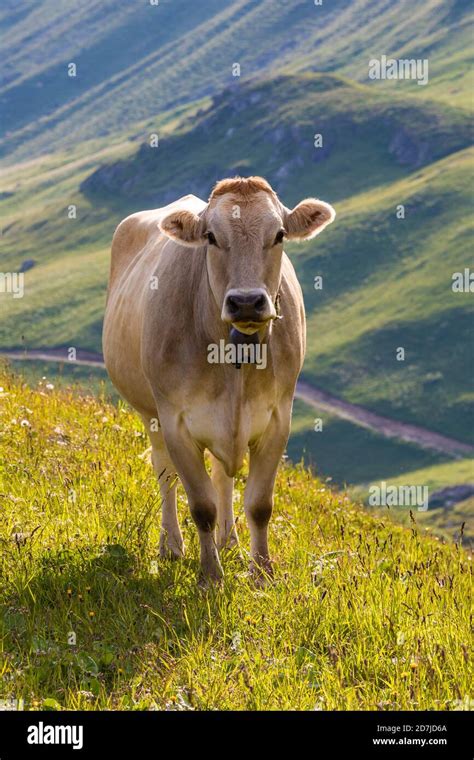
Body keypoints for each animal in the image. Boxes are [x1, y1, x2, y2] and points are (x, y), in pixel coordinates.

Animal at [102, 177, 336, 580]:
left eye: (279, 234)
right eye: (211, 237)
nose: (246, 302)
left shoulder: (278, 418)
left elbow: (259, 504)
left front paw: (262, 574)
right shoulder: (176, 423)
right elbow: (201, 506)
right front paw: (210, 576)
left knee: (222, 476)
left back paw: (229, 542)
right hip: (150, 413)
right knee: (165, 474)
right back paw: (172, 547)